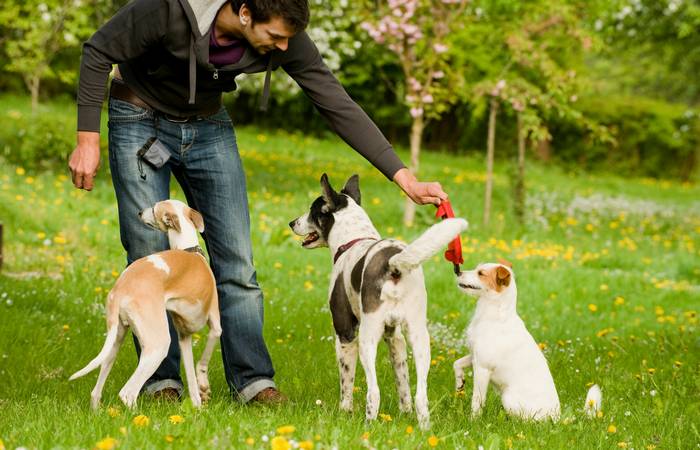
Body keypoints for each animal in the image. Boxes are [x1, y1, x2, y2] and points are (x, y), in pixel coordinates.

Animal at [68, 199, 221, 410]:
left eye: (154, 209)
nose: (139, 212)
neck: (188, 249)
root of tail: (120, 289)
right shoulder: (215, 325)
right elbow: (203, 362)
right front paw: (204, 387)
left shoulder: (184, 337)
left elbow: (191, 378)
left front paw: (198, 407)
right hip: (158, 345)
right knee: (127, 393)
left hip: (115, 340)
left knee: (96, 391)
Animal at [288, 173, 468, 428]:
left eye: (313, 211)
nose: (292, 223)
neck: (352, 241)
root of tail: (393, 264)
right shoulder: (395, 337)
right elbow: (403, 383)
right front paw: (405, 413)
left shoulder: (345, 334)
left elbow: (346, 382)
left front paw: (344, 413)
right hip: (419, 337)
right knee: (421, 395)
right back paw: (423, 427)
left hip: (367, 337)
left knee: (373, 391)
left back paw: (368, 425)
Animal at [454, 262, 600, 420]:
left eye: (481, 273)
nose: (458, 272)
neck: (493, 314)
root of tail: (557, 417)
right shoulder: (474, 357)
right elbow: (457, 363)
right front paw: (460, 382)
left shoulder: (482, 368)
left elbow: (477, 399)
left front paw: (473, 420)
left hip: (507, 398)